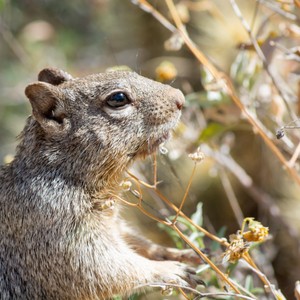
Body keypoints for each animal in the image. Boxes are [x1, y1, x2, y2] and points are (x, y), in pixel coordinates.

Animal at [0, 68, 203, 300]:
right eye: (118, 98)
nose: (180, 98)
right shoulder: (60, 235)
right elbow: (106, 270)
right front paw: (170, 269)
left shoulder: (114, 226)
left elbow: (135, 242)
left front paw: (178, 253)